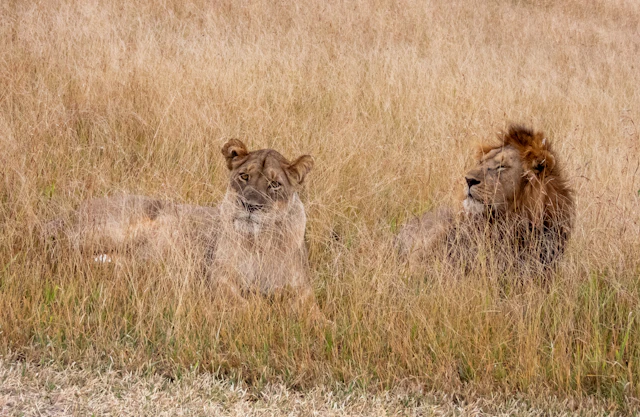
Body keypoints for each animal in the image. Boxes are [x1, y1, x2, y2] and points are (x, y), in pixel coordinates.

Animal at [46, 139, 326, 322]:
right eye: (244, 176)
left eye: (275, 184)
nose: (249, 205)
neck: (260, 243)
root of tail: (69, 214)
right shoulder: (218, 279)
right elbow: (247, 306)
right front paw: (266, 312)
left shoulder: (302, 289)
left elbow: (314, 313)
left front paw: (321, 325)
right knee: (61, 254)